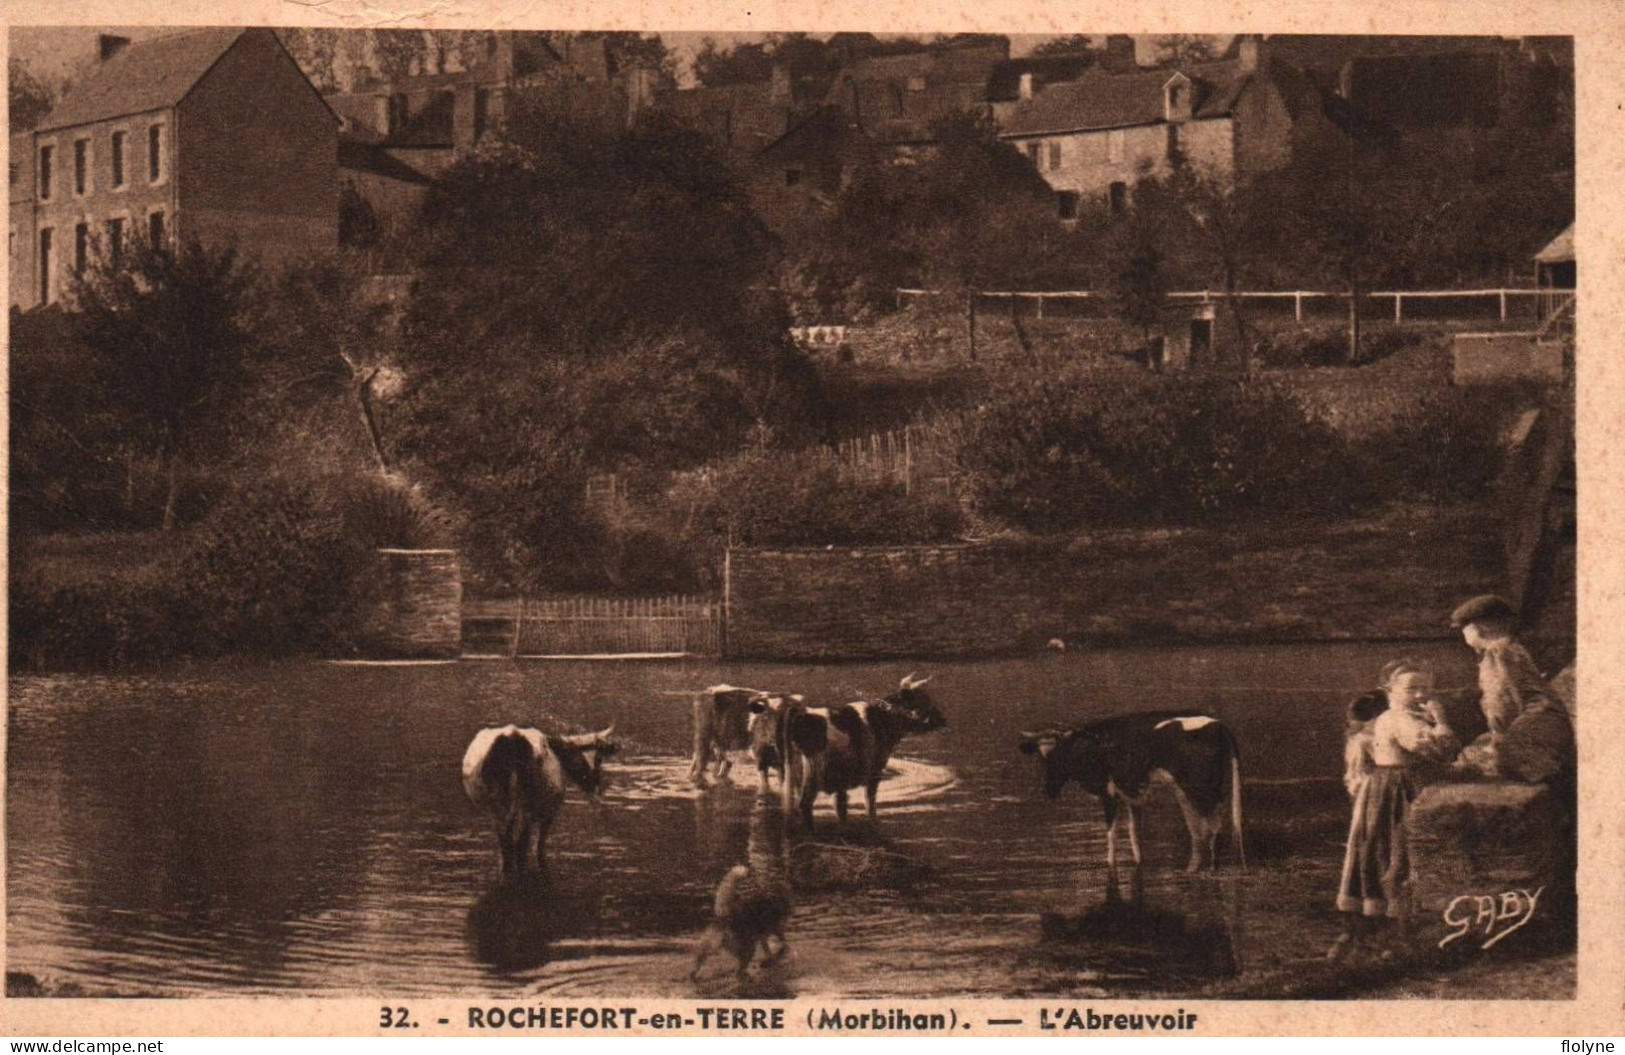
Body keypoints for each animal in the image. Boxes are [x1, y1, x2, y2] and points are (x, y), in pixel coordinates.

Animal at [464, 718, 614, 877]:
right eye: (598, 759)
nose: (595, 787)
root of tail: (511, 737)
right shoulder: (549, 812)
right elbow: (539, 846)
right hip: (525, 806)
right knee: (520, 844)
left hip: (499, 805)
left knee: (507, 844)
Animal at [783, 669, 942, 825]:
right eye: (925, 701)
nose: (943, 720)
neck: (883, 718)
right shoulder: (874, 770)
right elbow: (869, 803)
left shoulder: (842, 782)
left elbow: (842, 807)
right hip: (814, 772)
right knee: (804, 804)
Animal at [1014, 712, 1241, 877]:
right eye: (1043, 758)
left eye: (1061, 755)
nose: (1049, 790)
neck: (1095, 748)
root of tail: (1218, 724)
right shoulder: (1133, 798)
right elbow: (1135, 835)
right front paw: (1139, 862)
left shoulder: (1109, 794)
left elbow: (1112, 836)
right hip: (1198, 792)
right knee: (1207, 830)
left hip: (1198, 791)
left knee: (1209, 830)